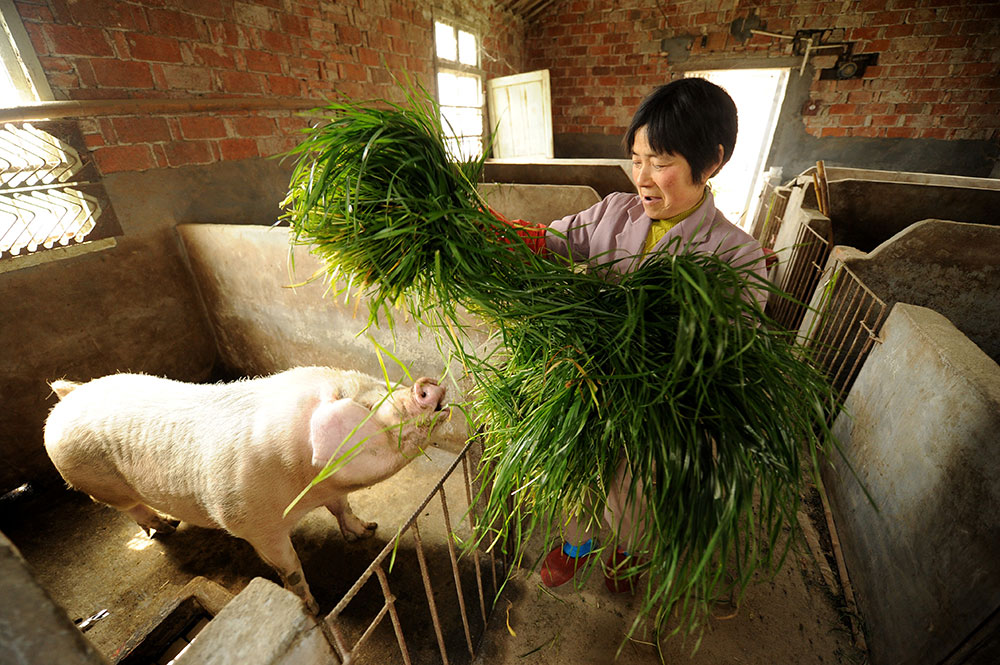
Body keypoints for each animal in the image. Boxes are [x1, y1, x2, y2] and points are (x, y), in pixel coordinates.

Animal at [43, 366, 468, 608]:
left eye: (382, 382)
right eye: (366, 407)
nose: (428, 385)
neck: (306, 484)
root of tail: (68, 398)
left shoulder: (333, 491)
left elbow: (343, 508)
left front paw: (367, 531)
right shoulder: (252, 525)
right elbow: (289, 567)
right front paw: (310, 609)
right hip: (96, 483)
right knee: (130, 509)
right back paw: (164, 528)